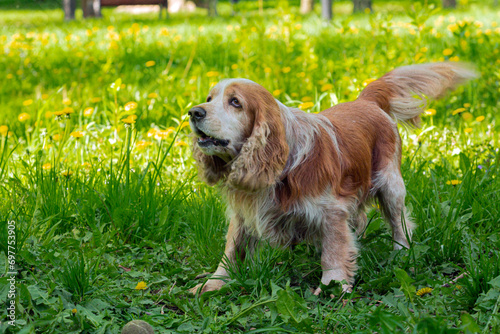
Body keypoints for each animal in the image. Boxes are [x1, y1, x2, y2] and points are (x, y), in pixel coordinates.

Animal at [188, 62, 476, 294]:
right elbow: (230, 251)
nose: (194, 112)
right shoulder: (242, 213)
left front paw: (332, 287)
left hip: (391, 186)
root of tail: (366, 101)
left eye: (235, 102)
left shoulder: (331, 211)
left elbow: (334, 252)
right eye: (209, 97)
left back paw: (401, 253)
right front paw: (213, 283)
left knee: (400, 224)